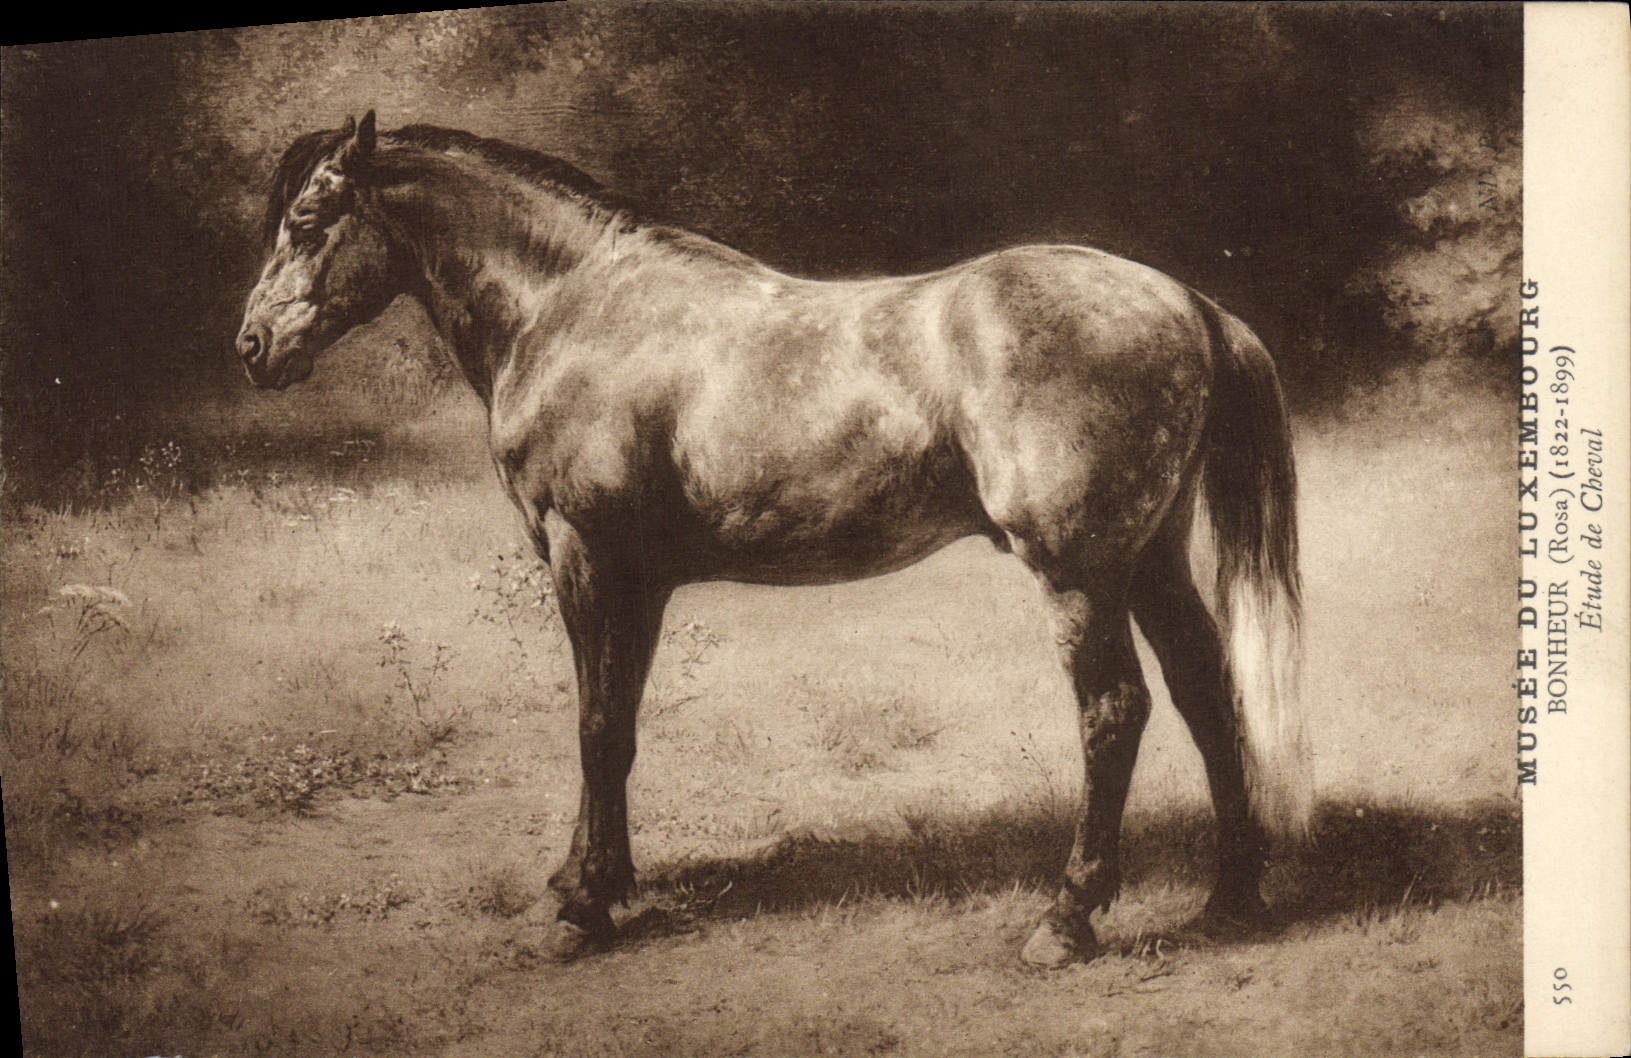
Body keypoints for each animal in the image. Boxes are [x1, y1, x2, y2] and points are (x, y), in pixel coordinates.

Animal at [237, 112, 1310, 968]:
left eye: (306, 221)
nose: (252, 347)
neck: (574, 307)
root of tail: (1189, 305)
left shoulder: (587, 556)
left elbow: (594, 725)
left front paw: (580, 913)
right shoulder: (639, 581)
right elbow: (616, 723)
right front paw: (594, 881)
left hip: (1079, 570)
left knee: (1113, 712)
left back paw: (1065, 920)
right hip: (1149, 559)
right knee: (1206, 692)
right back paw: (1229, 899)